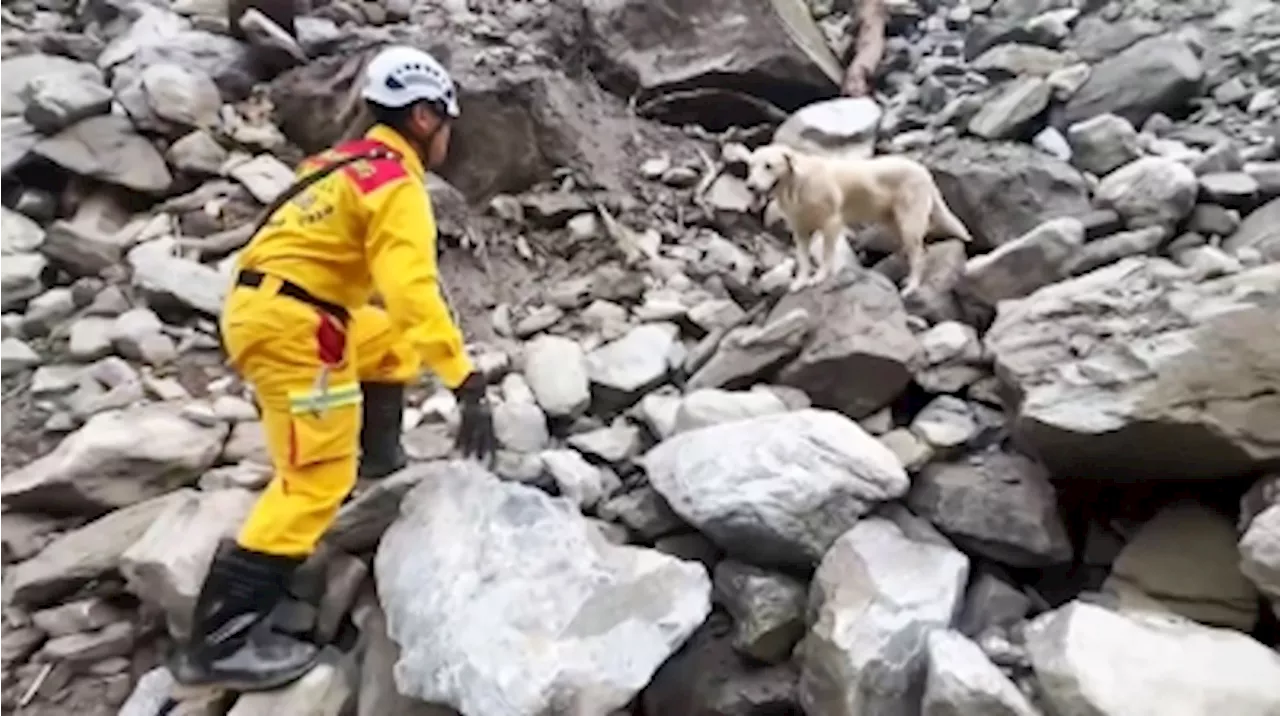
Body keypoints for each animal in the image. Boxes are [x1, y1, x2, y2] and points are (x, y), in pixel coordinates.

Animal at [742, 142, 967, 294]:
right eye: (751, 166)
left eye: (768, 166)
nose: (750, 186)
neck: (797, 185)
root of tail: (923, 170)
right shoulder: (800, 231)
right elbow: (803, 260)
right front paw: (800, 282)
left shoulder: (831, 223)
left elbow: (826, 256)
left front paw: (819, 277)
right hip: (894, 223)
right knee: (920, 252)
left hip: (909, 222)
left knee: (918, 256)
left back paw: (911, 287)